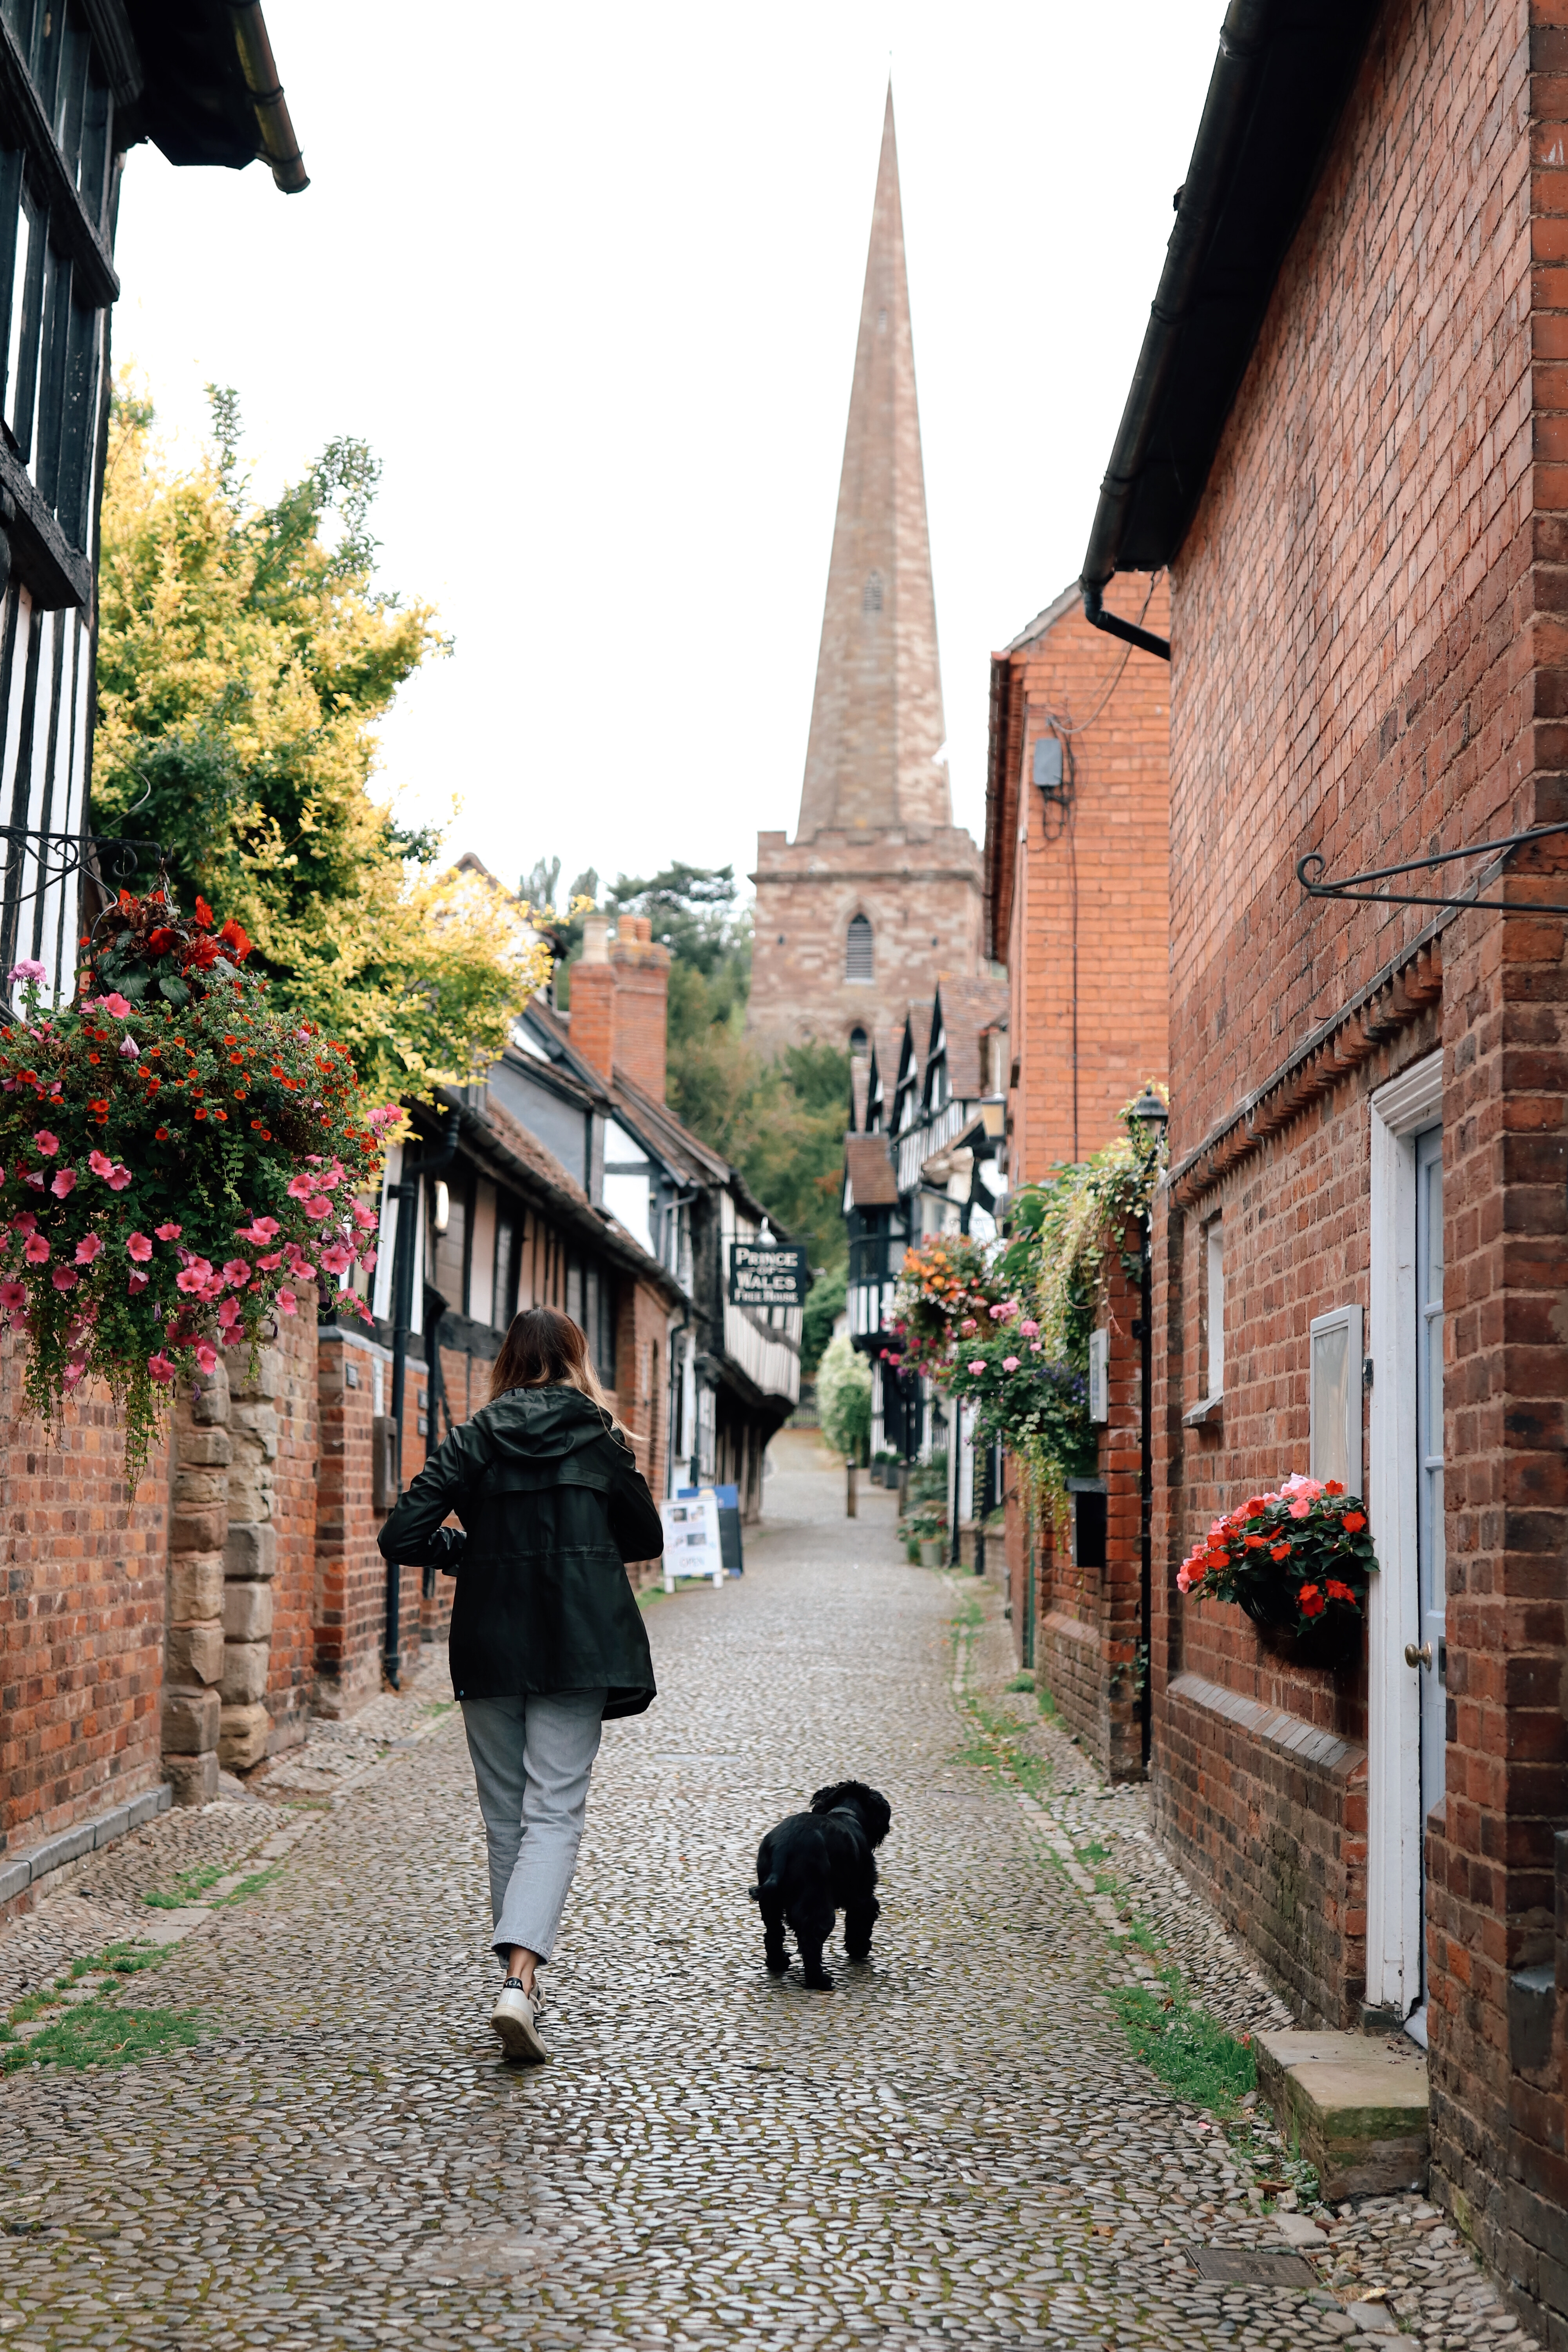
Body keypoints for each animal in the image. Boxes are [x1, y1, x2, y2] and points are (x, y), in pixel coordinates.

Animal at [752, 1778, 893, 1985]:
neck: (845, 1812)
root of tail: (783, 1846)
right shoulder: (863, 1895)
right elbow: (861, 1920)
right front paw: (859, 1949)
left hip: (770, 1902)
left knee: (774, 1933)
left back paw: (779, 1963)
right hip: (817, 1902)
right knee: (811, 1940)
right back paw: (819, 1980)